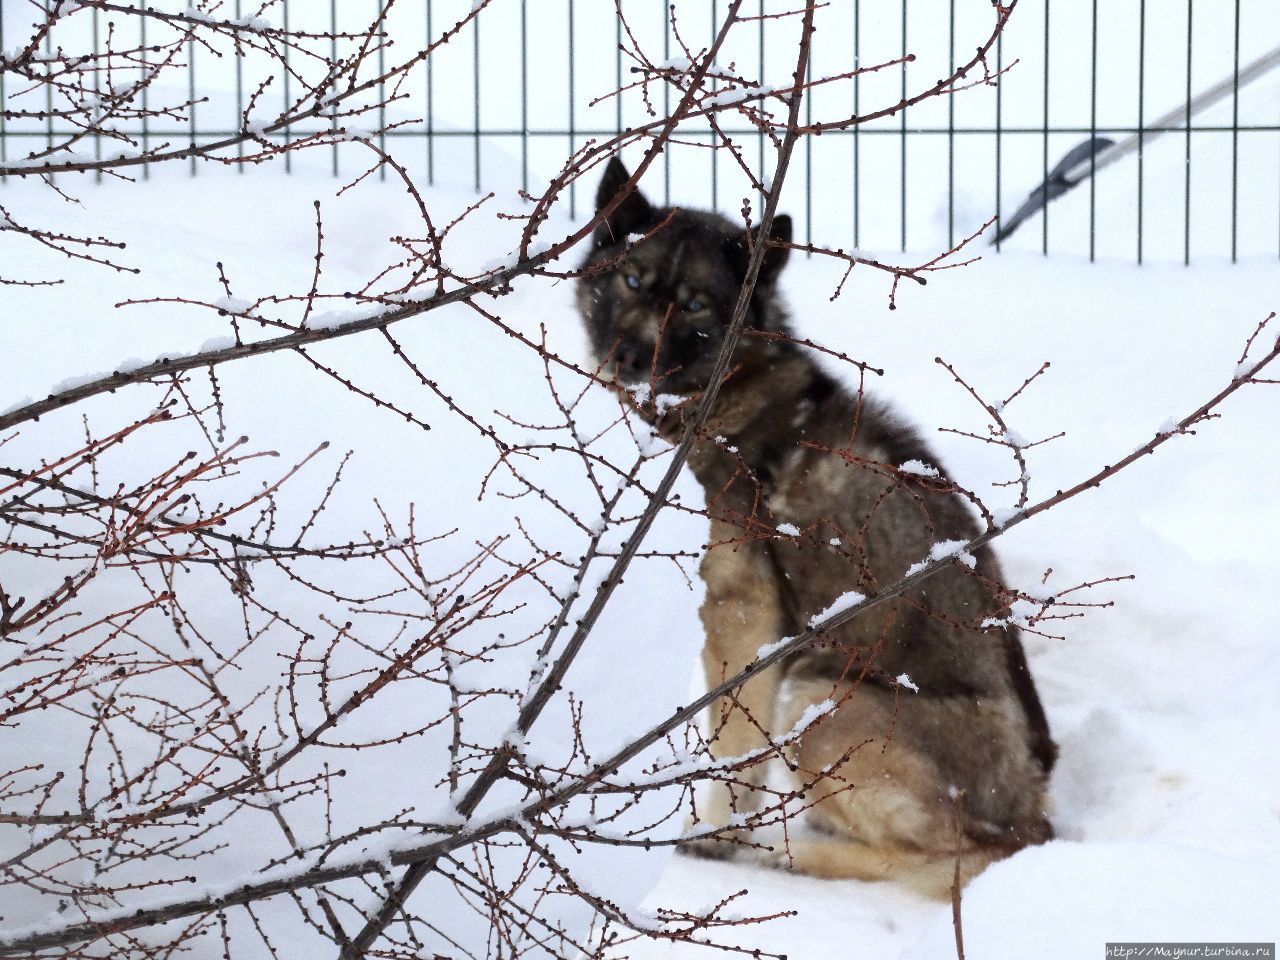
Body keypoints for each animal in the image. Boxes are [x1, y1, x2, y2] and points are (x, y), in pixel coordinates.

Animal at [576, 154, 1054, 901]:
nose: (631, 358)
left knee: (961, 857)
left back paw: (793, 858)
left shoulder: (746, 617)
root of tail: (1034, 818)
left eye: (697, 304)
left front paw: (711, 839)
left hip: (820, 693)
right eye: (632, 279)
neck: (740, 391)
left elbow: (730, 756)